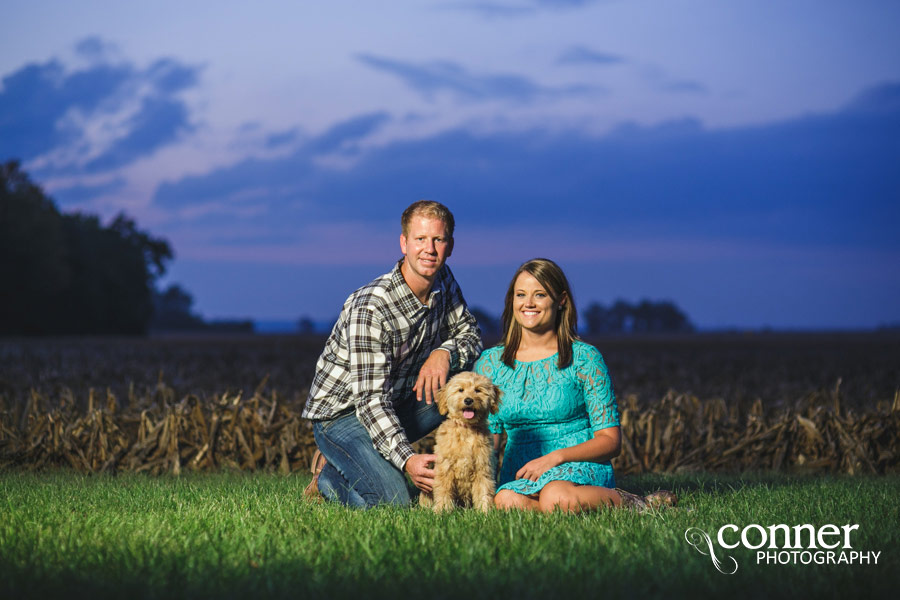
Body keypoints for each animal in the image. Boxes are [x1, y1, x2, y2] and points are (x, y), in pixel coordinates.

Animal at [420, 370, 502, 510]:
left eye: (478, 390)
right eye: (460, 390)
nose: (468, 400)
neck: (466, 429)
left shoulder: (483, 467)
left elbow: (484, 490)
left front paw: (485, 511)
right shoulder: (445, 468)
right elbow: (444, 490)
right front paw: (442, 510)